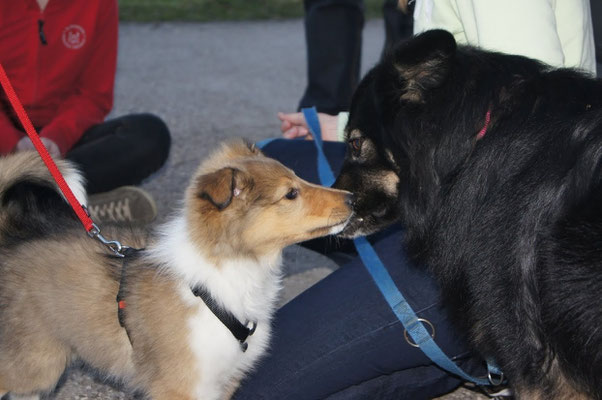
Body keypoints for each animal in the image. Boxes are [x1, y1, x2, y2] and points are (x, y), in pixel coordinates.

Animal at [0, 139, 352, 398]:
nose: (352, 198)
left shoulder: (222, 383)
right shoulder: (181, 386)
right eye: (290, 194)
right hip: (34, 364)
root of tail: (11, 235)